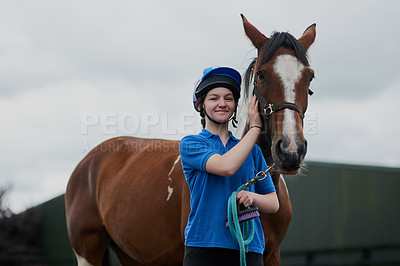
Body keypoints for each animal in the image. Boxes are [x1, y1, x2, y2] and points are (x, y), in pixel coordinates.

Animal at [65, 15, 316, 266]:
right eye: (262, 74)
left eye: (309, 76)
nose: (291, 150)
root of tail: (86, 164)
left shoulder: (272, 254)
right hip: (88, 252)